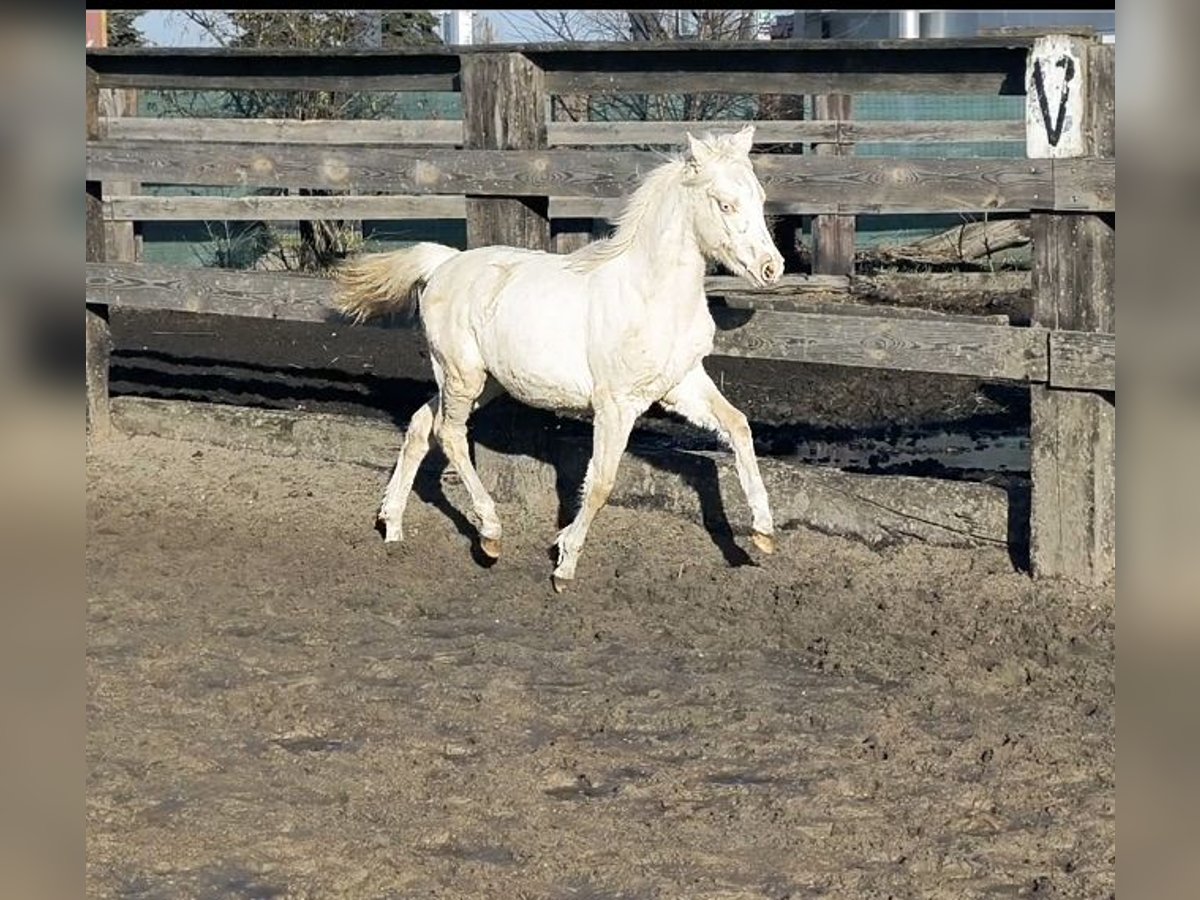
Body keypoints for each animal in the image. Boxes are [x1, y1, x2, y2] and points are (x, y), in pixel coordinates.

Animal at [336, 125, 787, 592]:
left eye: (759, 196)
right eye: (725, 203)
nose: (772, 268)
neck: (650, 295)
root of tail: (445, 263)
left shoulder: (682, 384)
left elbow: (738, 426)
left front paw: (763, 533)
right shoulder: (615, 405)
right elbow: (602, 482)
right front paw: (564, 564)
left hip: (482, 382)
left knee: (421, 424)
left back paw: (392, 525)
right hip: (462, 374)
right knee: (449, 434)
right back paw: (490, 534)